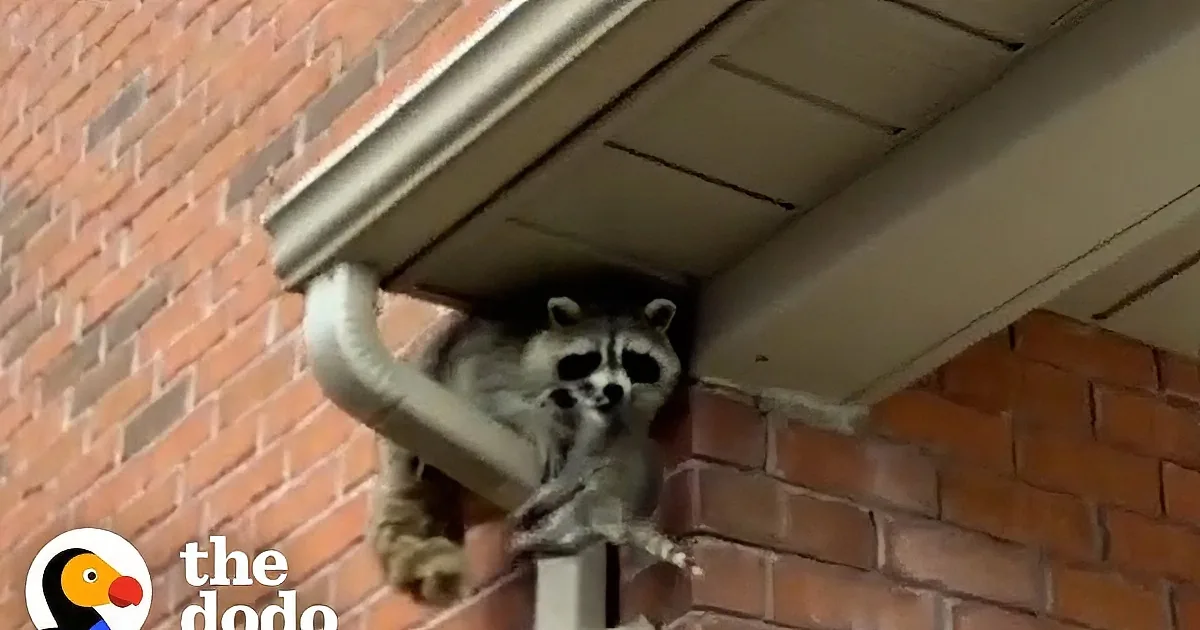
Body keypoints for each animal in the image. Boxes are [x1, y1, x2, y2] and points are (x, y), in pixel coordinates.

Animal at [368, 272, 688, 606]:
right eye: (590, 358)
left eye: (632, 359)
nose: (614, 389)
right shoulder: (498, 350)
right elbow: (488, 391)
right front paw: (540, 422)